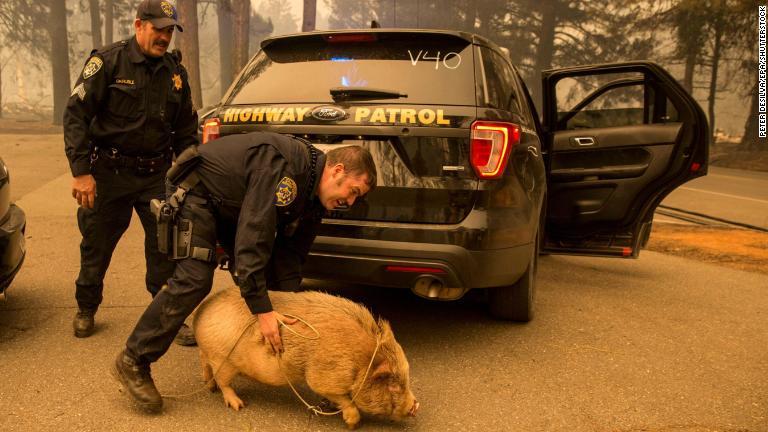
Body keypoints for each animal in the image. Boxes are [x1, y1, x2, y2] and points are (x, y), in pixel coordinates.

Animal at [192, 286, 420, 428]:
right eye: (393, 385)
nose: (415, 406)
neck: (360, 360)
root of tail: (201, 312)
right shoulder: (322, 377)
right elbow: (343, 399)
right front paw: (353, 424)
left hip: (211, 355)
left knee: (205, 364)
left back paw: (209, 386)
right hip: (223, 359)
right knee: (224, 382)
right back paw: (238, 405)